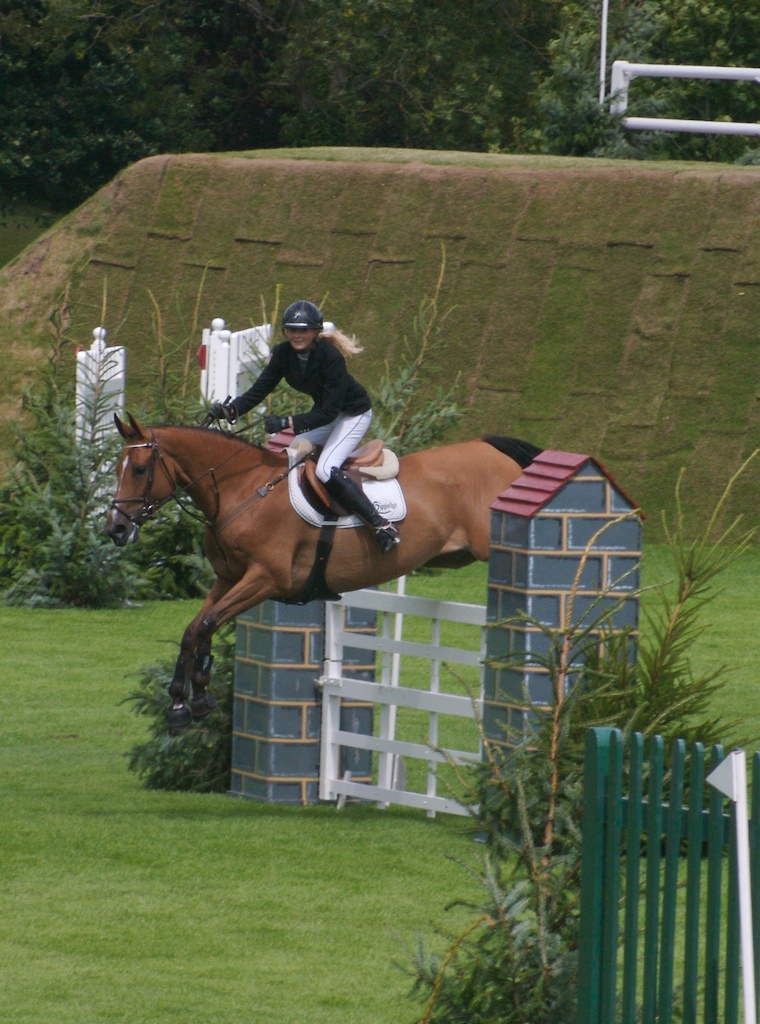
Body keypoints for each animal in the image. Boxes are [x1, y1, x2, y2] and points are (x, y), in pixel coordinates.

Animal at [103, 411, 540, 733]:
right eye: (116, 469)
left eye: (138, 469)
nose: (116, 529)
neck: (242, 489)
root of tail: (490, 449)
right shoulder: (228, 578)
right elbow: (196, 628)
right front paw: (186, 702)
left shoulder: (265, 579)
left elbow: (208, 622)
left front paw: (190, 700)